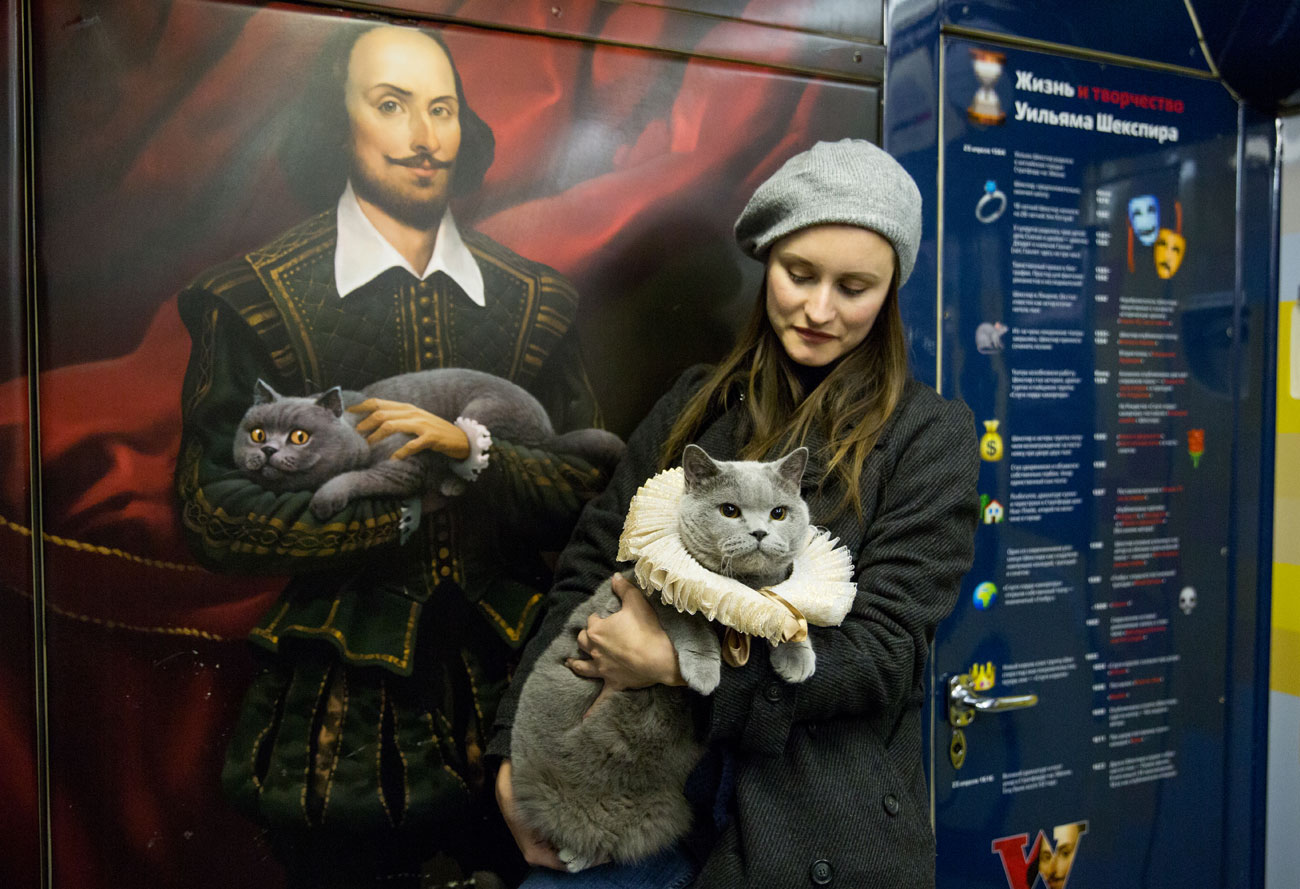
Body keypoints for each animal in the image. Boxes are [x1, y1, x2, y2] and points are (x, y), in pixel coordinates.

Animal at [236, 369, 626, 517]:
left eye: (299, 437)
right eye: (257, 434)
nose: (268, 450)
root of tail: (549, 430)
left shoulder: (403, 466)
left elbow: (356, 477)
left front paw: (324, 500)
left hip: (482, 410)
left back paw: (450, 485)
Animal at [509, 441, 806, 873]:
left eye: (779, 513)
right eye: (729, 510)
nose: (760, 531)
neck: (741, 585)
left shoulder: (767, 595)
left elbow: (780, 609)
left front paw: (799, 659)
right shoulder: (655, 594)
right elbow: (692, 625)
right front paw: (704, 671)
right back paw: (571, 850)